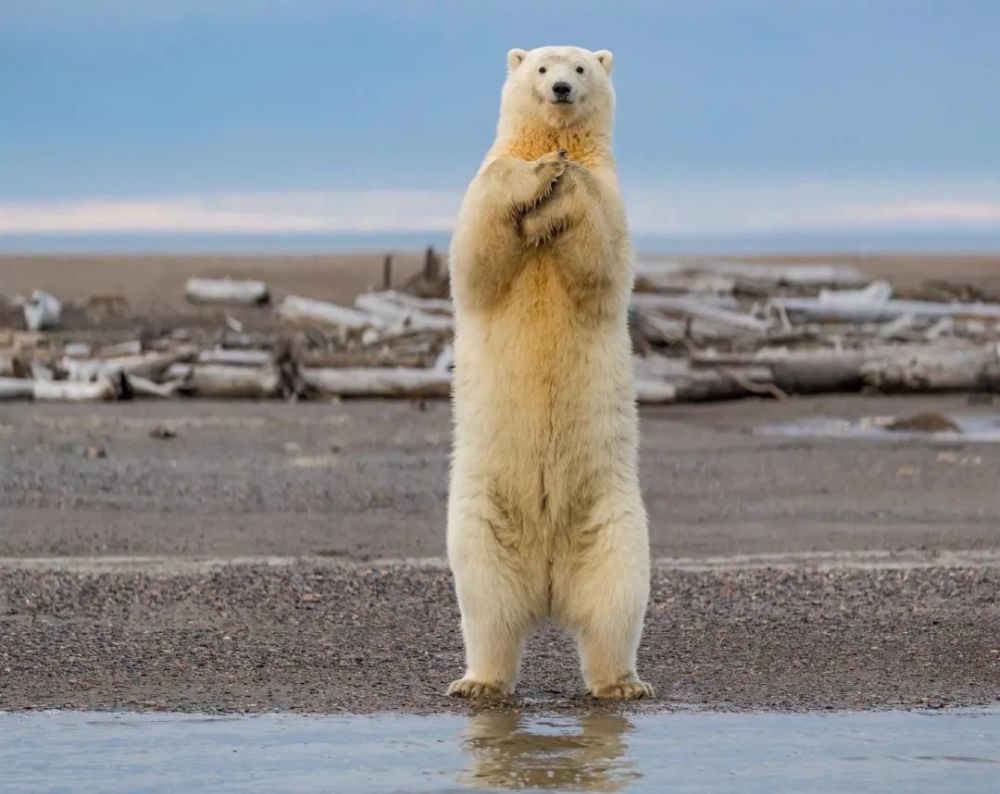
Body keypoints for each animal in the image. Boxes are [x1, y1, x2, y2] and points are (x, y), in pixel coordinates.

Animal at [445, 45, 653, 700]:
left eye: (581, 68)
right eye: (541, 68)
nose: (561, 88)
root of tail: (548, 586)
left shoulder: (613, 197)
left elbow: (601, 249)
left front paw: (564, 182)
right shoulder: (486, 180)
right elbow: (479, 248)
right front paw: (543, 174)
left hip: (613, 519)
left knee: (615, 603)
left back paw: (622, 683)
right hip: (482, 518)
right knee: (486, 606)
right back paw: (478, 682)